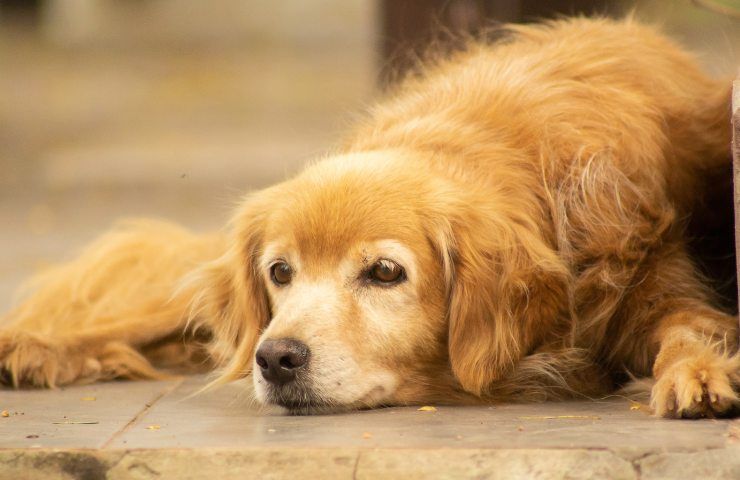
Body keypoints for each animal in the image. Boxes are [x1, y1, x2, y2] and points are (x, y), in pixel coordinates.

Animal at [1, 16, 740, 418]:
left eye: (385, 273)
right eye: (280, 272)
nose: (277, 359)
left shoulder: (657, 281)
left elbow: (685, 329)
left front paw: (699, 374)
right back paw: (34, 344)